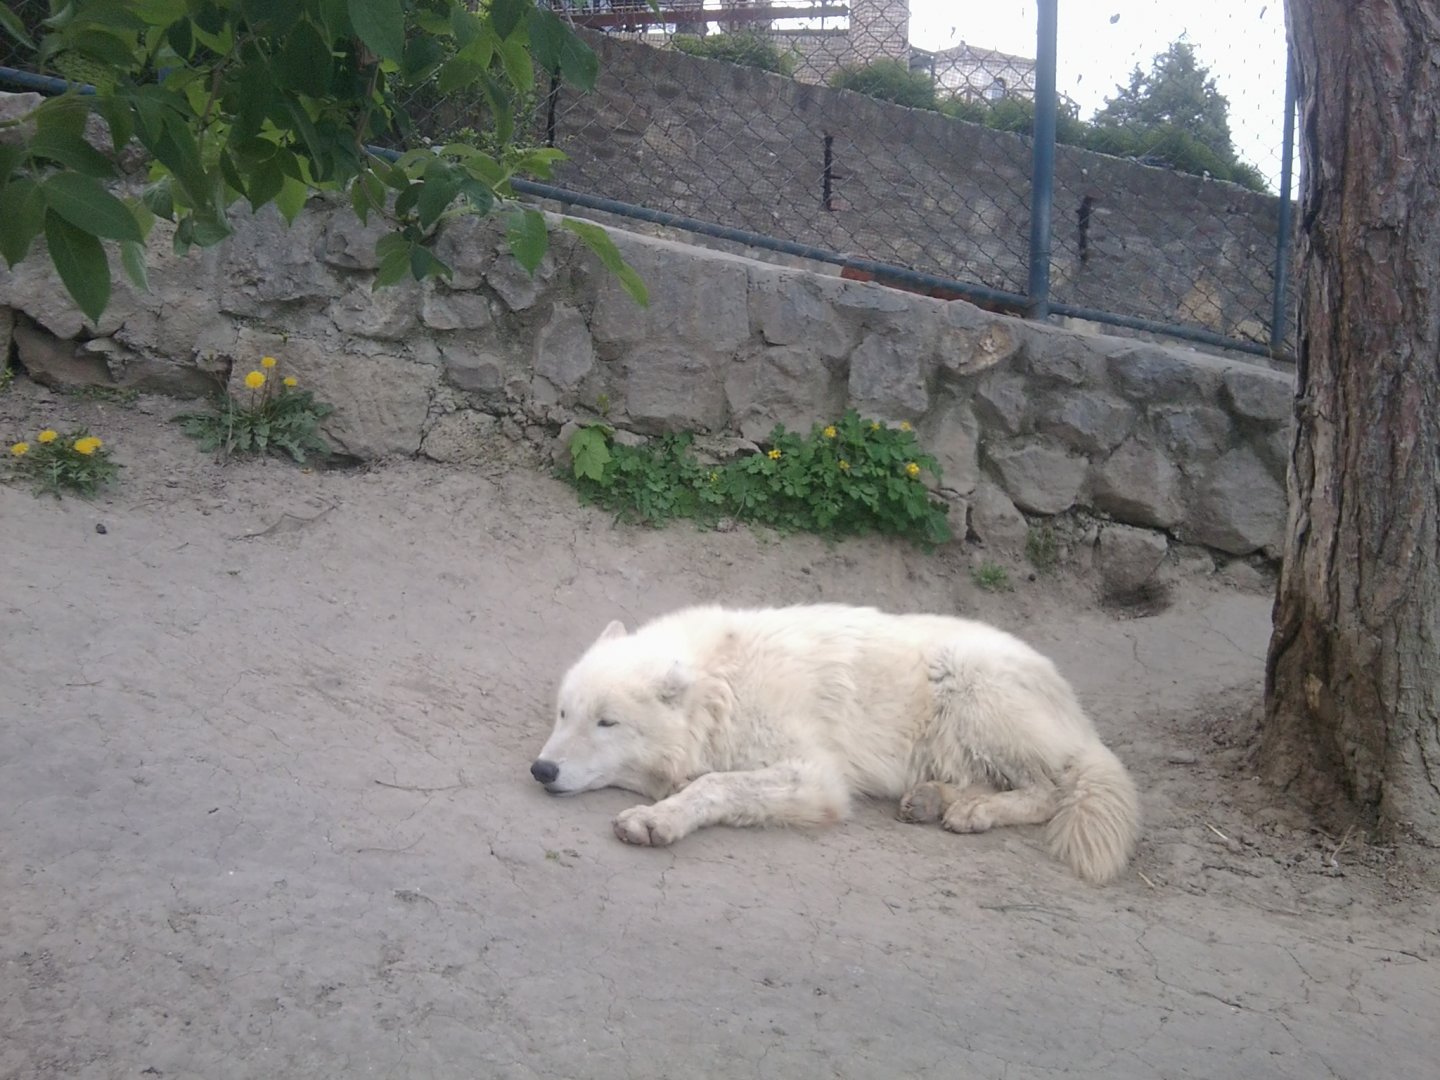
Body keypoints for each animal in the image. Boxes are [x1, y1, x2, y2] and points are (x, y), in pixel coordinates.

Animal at [529, 604, 1140, 883]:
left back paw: (975, 813)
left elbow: (714, 785)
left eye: (607, 723)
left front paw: (658, 819)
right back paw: (933, 801)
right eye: (565, 713)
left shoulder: (816, 778)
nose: (542, 771)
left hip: (971, 685)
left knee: (1050, 789)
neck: (723, 685)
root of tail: (1079, 715)